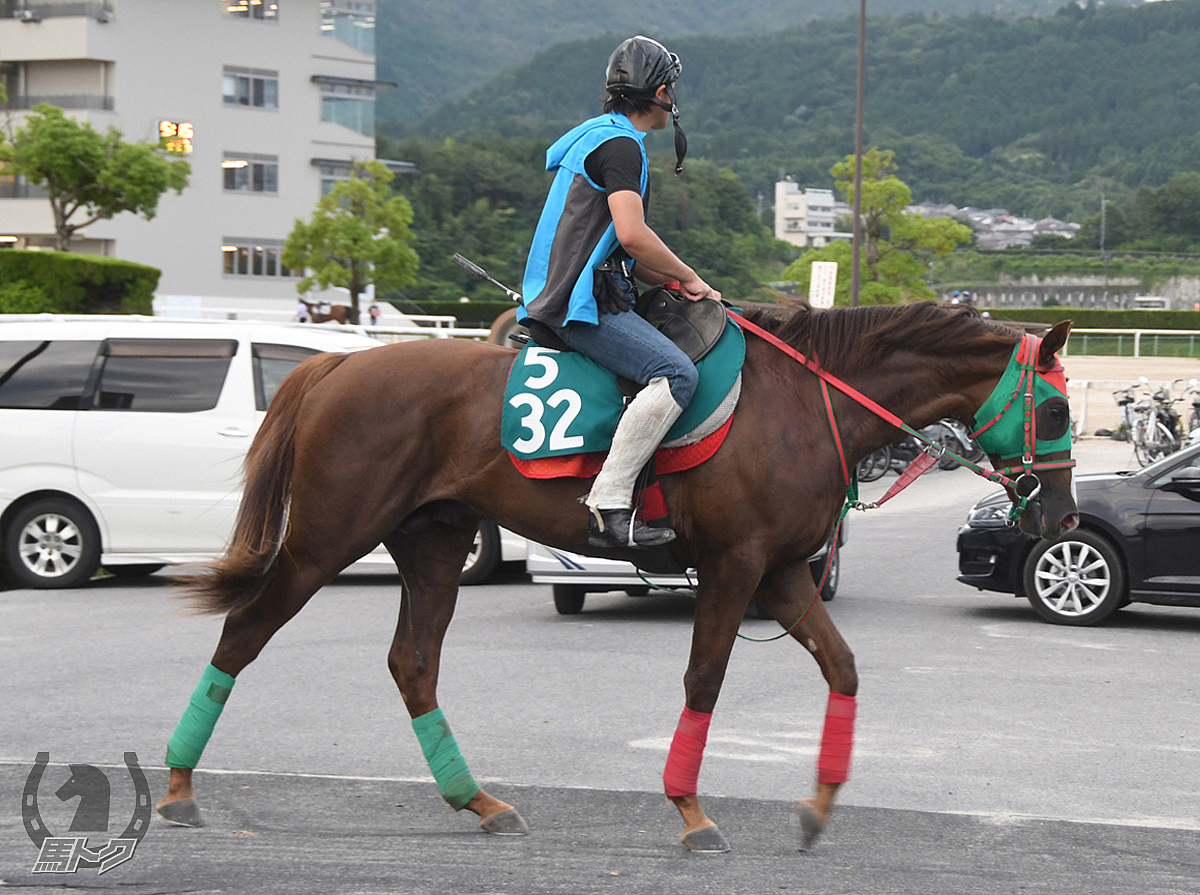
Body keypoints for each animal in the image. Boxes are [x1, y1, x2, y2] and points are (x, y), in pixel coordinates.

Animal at [154, 299, 1075, 849]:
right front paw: (690, 809)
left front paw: (819, 802)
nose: (1062, 517)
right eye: (1060, 407)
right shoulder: (735, 565)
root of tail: (340, 363)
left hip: (434, 542)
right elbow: (705, 677)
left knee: (413, 662)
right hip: (326, 538)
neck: (797, 405)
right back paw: (178, 783)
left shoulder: (782, 573)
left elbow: (842, 666)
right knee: (245, 631)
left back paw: (477, 800)